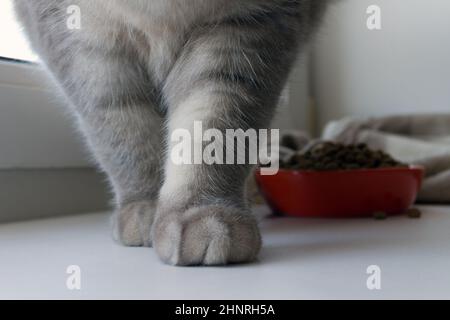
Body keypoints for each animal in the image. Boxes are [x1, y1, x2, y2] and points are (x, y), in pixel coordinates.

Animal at [15, 0, 328, 264]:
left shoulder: (248, 26)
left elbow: (213, 129)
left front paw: (203, 211)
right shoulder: (79, 39)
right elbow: (126, 132)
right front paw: (148, 207)